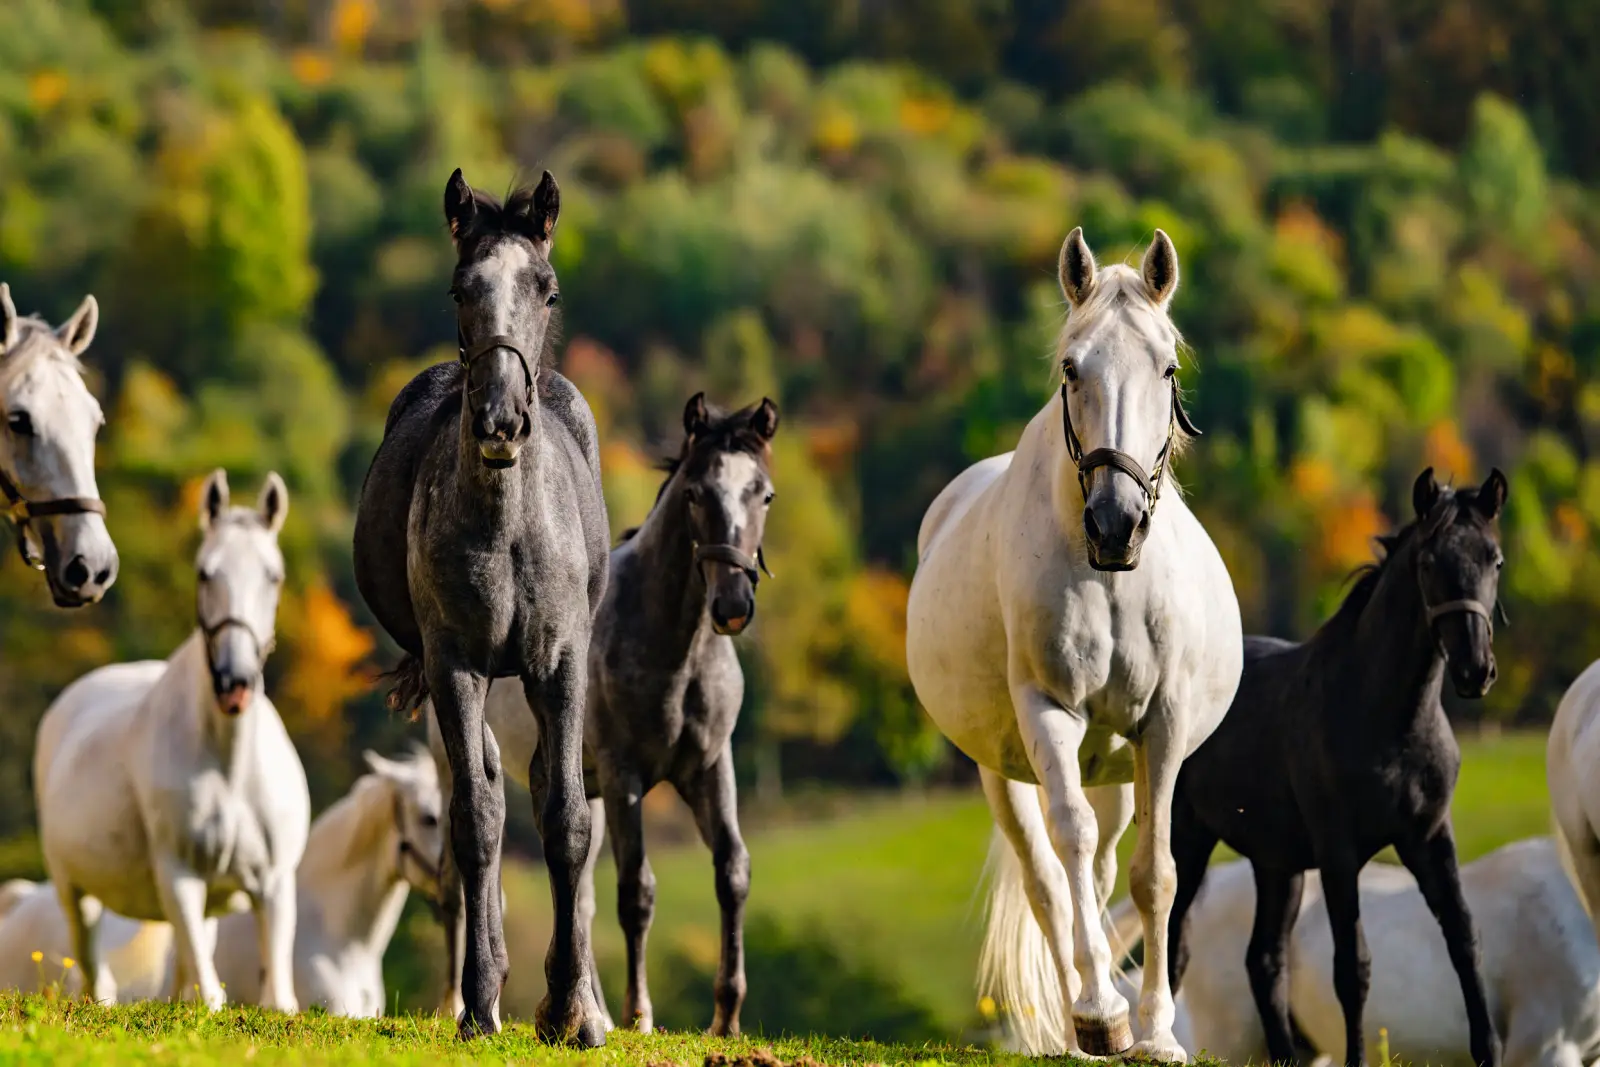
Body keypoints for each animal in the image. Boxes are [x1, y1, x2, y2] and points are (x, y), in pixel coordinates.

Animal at [33, 469, 308, 1012]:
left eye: (274, 576)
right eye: (205, 573)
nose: (234, 682)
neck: (230, 767)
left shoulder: (274, 885)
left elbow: (275, 998)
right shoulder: (179, 875)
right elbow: (210, 995)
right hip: (74, 893)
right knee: (97, 975)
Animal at [352, 168, 610, 1043]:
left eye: (547, 287)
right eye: (461, 288)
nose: (501, 420)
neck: (507, 529)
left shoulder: (559, 663)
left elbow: (565, 816)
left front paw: (569, 1010)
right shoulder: (455, 664)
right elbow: (473, 818)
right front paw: (478, 1002)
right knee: (490, 794)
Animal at [428, 393, 779, 1035]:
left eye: (762, 493)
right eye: (695, 493)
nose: (732, 606)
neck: (677, 648)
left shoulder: (710, 768)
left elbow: (732, 871)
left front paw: (727, 1016)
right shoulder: (625, 777)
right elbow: (636, 891)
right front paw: (640, 1013)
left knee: (574, 888)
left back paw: (580, 1008)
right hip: (457, 764)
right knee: (458, 878)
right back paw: (459, 1004)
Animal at [905, 227, 1243, 1061]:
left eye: (1168, 367)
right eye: (1071, 367)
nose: (1116, 523)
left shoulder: (1162, 727)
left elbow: (1156, 874)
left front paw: (1155, 1031)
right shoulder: (1049, 714)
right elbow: (1068, 859)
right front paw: (1101, 1013)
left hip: (1114, 767)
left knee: (1102, 868)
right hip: (1005, 771)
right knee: (1051, 880)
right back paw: (1079, 1021)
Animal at [1166, 468, 1508, 1067]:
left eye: (1495, 559)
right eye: (1429, 562)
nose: (1475, 671)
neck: (1388, 719)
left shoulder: (1428, 838)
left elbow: (1466, 940)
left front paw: (1488, 1050)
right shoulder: (1339, 853)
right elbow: (1352, 968)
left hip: (1276, 864)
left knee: (1263, 962)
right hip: (1189, 840)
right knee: (1173, 942)